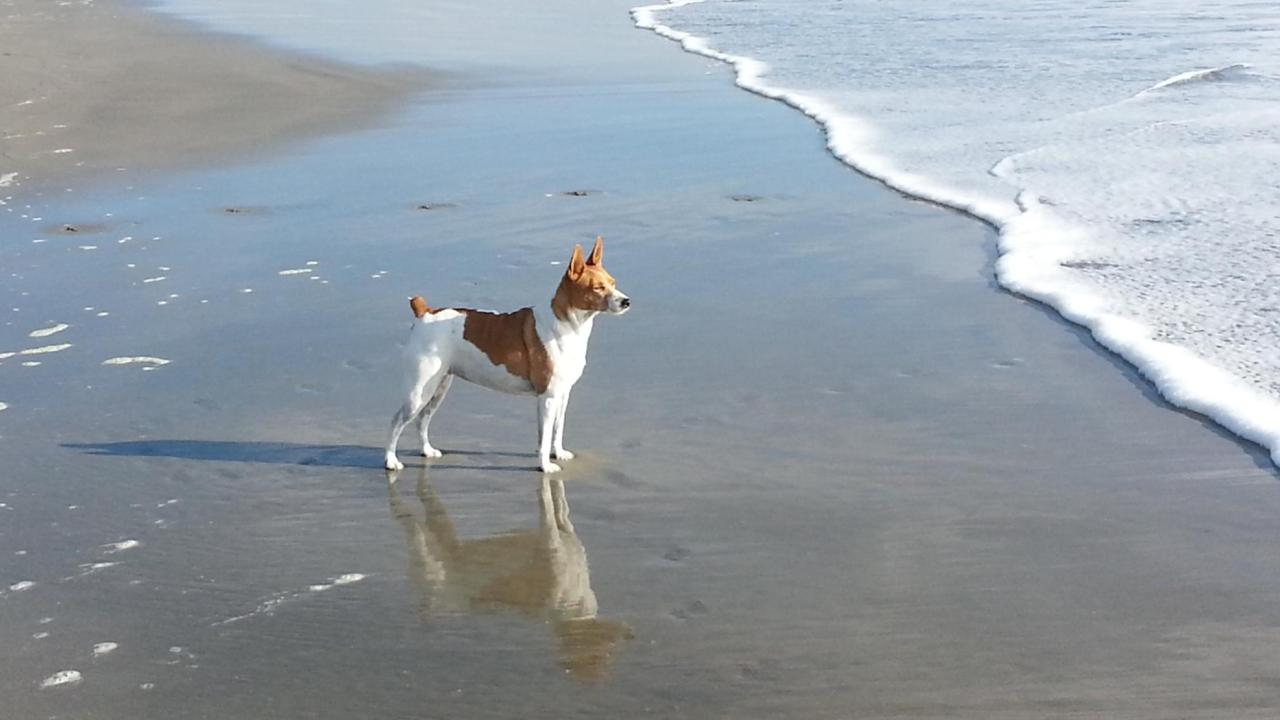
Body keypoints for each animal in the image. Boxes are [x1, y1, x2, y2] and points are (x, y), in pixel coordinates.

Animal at [384, 234, 634, 471]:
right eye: (597, 287)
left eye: (613, 282)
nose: (626, 301)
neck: (567, 326)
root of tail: (425, 312)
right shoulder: (547, 397)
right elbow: (543, 439)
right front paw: (545, 466)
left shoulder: (563, 394)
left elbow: (557, 429)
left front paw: (559, 453)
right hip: (419, 392)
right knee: (396, 422)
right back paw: (391, 461)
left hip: (439, 387)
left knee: (422, 420)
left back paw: (426, 450)